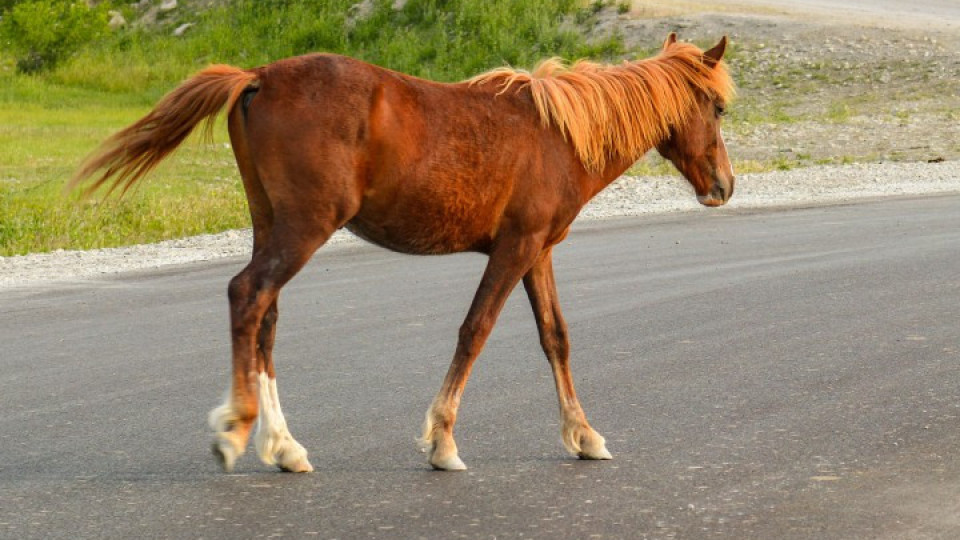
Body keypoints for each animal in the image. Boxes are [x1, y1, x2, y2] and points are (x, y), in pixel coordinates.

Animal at [71, 33, 740, 472]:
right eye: (718, 107)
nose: (725, 185)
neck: (558, 134)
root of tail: (259, 75)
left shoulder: (538, 252)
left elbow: (555, 337)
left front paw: (583, 435)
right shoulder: (515, 249)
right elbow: (475, 330)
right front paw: (442, 442)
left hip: (273, 225)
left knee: (265, 316)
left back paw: (284, 446)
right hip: (304, 229)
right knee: (248, 294)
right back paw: (236, 429)